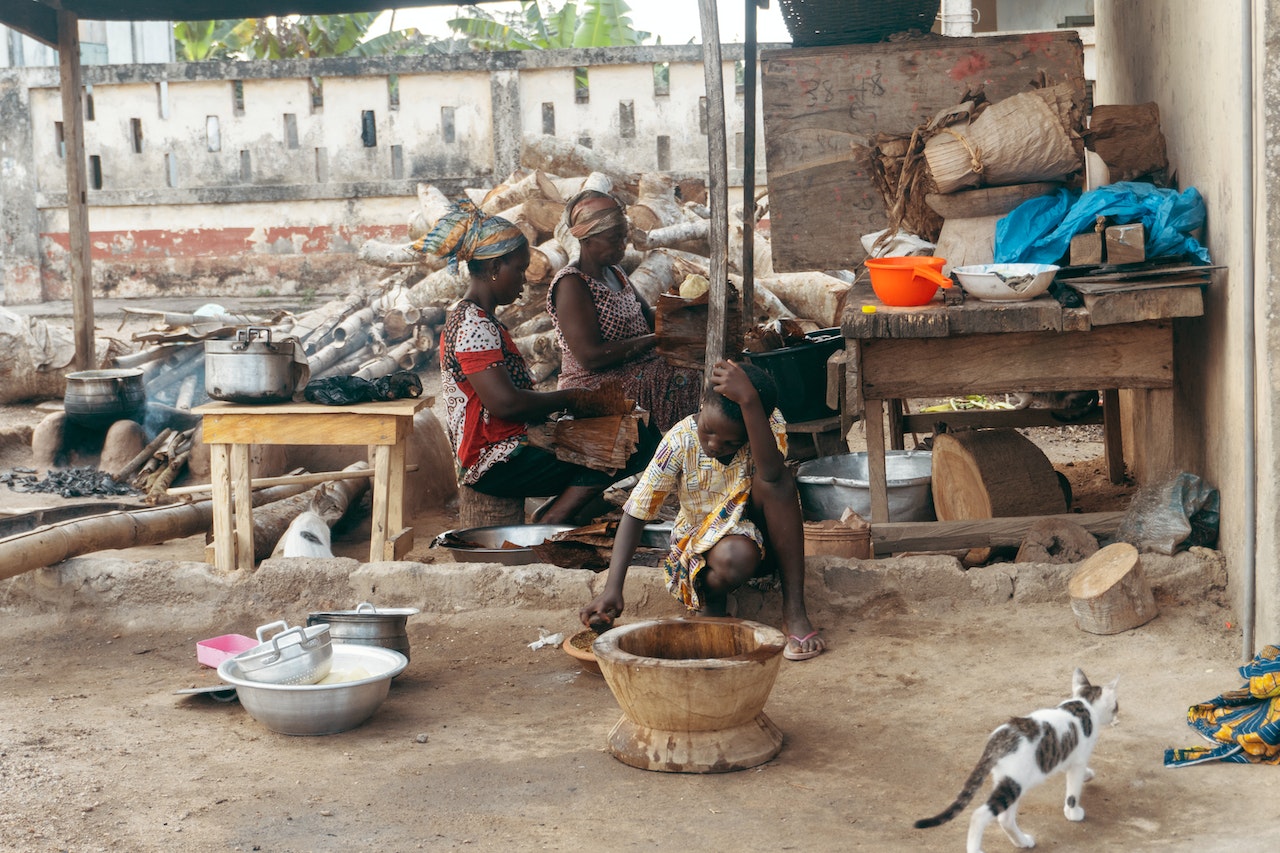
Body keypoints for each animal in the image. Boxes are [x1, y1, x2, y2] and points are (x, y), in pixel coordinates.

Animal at [916, 666, 1116, 845]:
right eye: (1116, 706)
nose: (1116, 717)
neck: (1084, 702)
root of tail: (1000, 739)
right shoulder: (1078, 760)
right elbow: (1073, 793)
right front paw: (1073, 813)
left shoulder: (1070, 757)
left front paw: (1088, 776)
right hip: (1014, 783)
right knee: (982, 816)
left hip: (1005, 778)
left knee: (1003, 818)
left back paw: (1022, 842)